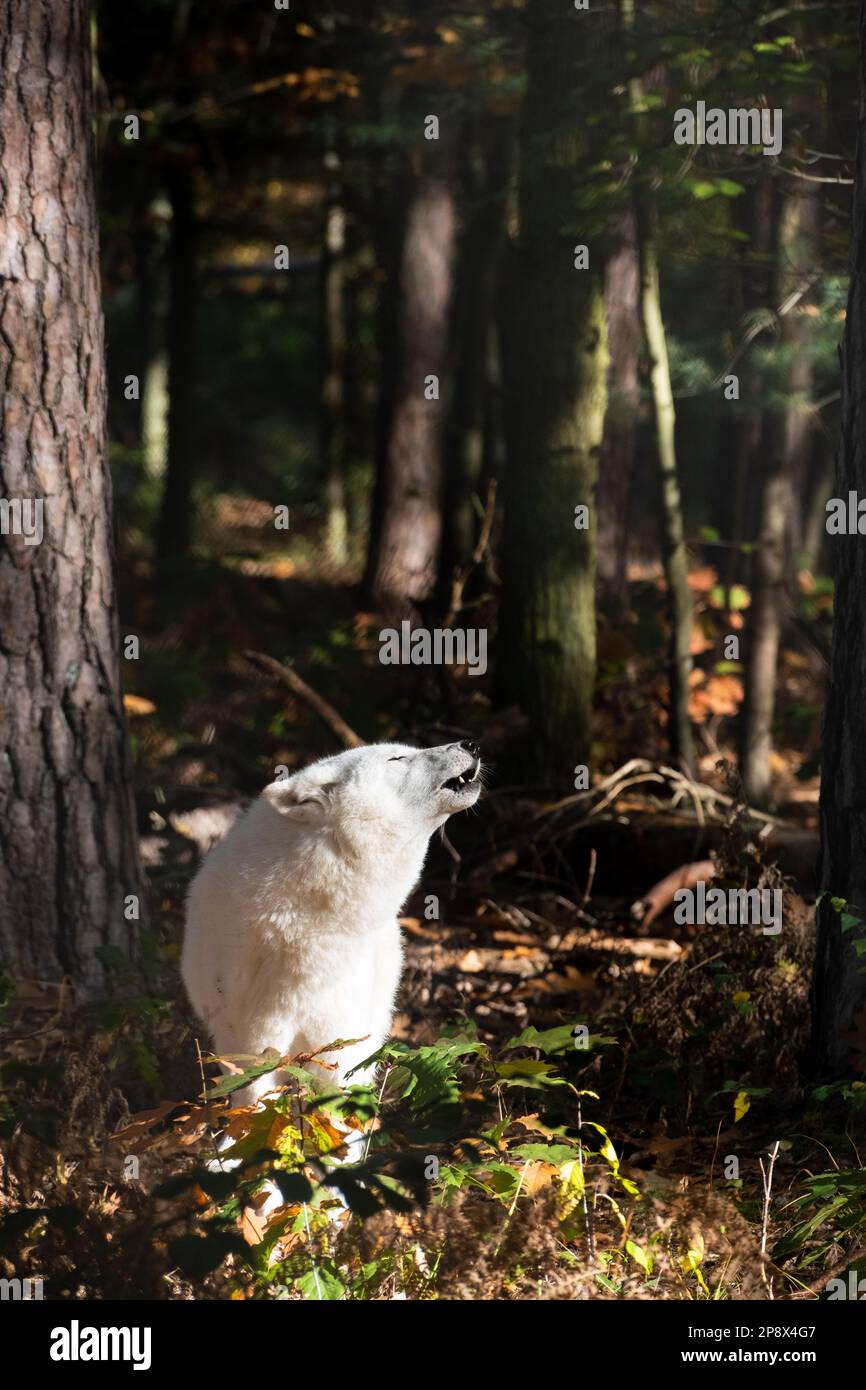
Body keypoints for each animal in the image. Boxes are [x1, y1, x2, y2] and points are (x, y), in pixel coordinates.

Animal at [180, 739, 483, 1106]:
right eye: (398, 758)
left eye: (404, 751)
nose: (471, 744)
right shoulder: (250, 1039)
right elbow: (253, 1098)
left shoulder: (341, 1037)